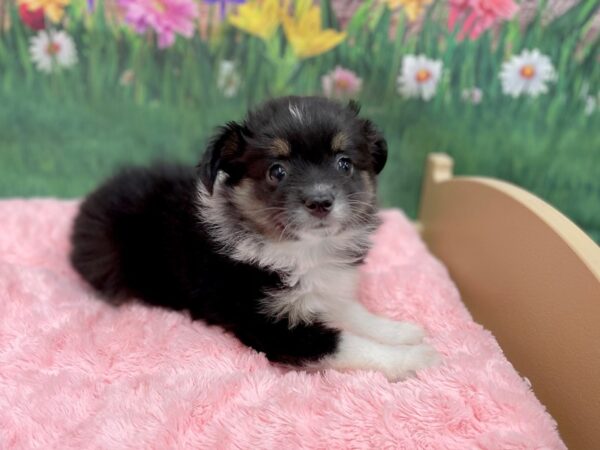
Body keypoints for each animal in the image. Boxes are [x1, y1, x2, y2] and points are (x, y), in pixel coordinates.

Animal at [71, 96, 440, 382]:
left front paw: (401, 331)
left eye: (344, 163)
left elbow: (355, 314)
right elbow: (344, 342)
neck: (303, 249)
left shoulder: (322, 290)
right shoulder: (268, 325)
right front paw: (415, 357)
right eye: (277, 171)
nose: (320, 201)